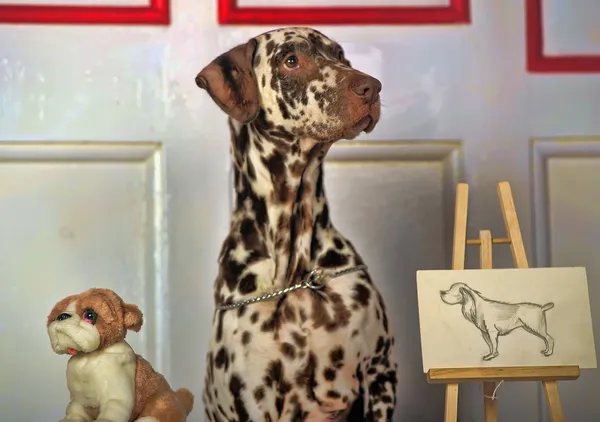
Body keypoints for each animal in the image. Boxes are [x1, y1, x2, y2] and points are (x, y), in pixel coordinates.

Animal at [197, 28, 398, 420]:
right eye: (291, 60)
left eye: (340, 55)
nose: (372, 87)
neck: (297, 276)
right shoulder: (253, 398)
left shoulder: (380, 374)